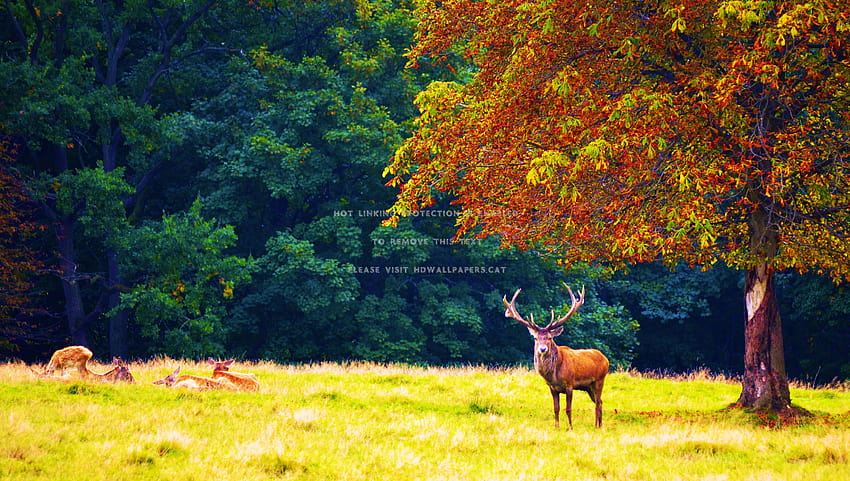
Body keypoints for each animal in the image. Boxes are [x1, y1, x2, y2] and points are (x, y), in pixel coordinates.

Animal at [500, 282, 608, 428]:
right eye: (535, 338)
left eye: (550, 338)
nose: (542, 349)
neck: (554, 375)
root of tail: (605, 358)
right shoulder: (552, 388)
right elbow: (556, 408)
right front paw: (556, 427)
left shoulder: (569, 384)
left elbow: (568, 409)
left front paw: (570, 428)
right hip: (588, 387)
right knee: (600, 401)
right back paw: (598, 425)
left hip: (599, 380)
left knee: (598, 402)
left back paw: (597, 426)